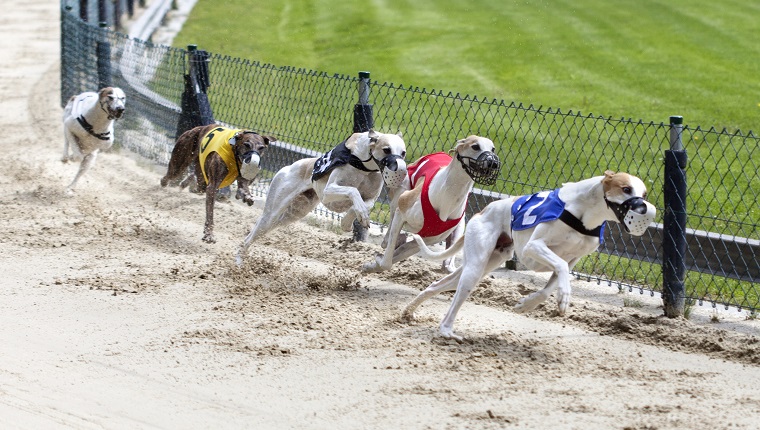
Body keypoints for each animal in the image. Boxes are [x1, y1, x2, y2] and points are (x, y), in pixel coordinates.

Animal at [235, 129, 406, 268]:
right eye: (386, 149)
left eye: (403, 152)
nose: (401, 170)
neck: (364, 165)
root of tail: (288, 167)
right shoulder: (327, 192)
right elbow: (353, 191)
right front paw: (358, 218)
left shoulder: (371, 197)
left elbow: (361, 205)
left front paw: (347, 222)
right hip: (273, 212)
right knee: (250, 236)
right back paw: (239, 263)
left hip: (291, 214)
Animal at [360, 136, 498, 274]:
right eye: (475, 146)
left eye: (493, 149)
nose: (493, 162)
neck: (449, 195)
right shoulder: (401, 212)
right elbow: (387, 261)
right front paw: (374, 263)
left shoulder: (426, 239)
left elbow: (397, 254)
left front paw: (374, 264)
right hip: (401, 191)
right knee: (389, 234)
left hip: (458, 227)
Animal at [400, 170, 656, 340]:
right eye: (626, 189)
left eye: (644, 193)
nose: (643, 208)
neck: (584, 215)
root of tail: (482, 211)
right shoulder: (533, 248)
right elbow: (560, 267)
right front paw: (564, 295)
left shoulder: (574, 258)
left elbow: (551, 284)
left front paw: (526, 305)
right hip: (475, 267)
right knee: (455, 301)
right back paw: (446, 331)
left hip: (485, 263)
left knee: (436, 285)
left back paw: (409, 311)